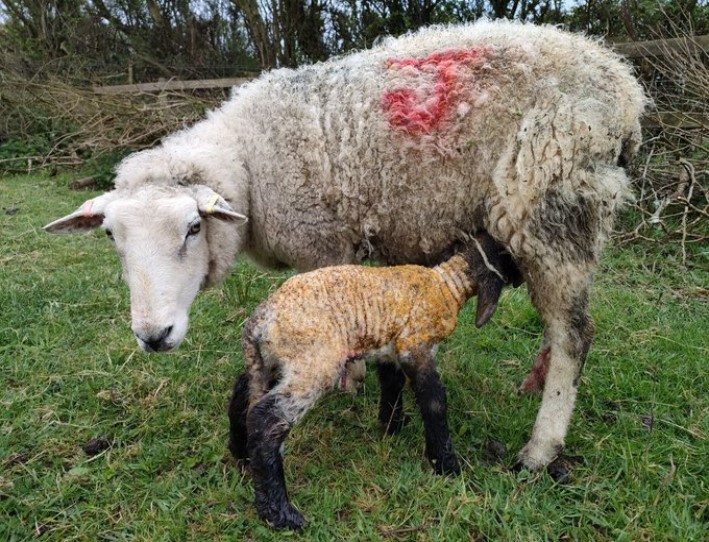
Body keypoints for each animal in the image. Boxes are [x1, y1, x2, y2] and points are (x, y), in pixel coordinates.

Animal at [41, 19, 644, 474]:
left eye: (193, 227)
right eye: (111, 236)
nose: (154, 336)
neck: (249, 163)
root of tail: (622, 84)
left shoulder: (325, 242)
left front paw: (348, 380)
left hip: (551, 205)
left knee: (574, 334)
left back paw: (540, 448)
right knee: (559, 325)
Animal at [230, 234, 516, 532]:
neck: (446, 284)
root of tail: (258, 324)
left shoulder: (392, 347)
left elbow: (392, 382)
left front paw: (391, 426)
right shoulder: (415, 345)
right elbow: (434, 401)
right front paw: (445, 465)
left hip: (272, 361)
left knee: (243, 394)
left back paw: (242, 457)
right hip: (313, 361)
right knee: (267, 419)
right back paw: (280, 514)